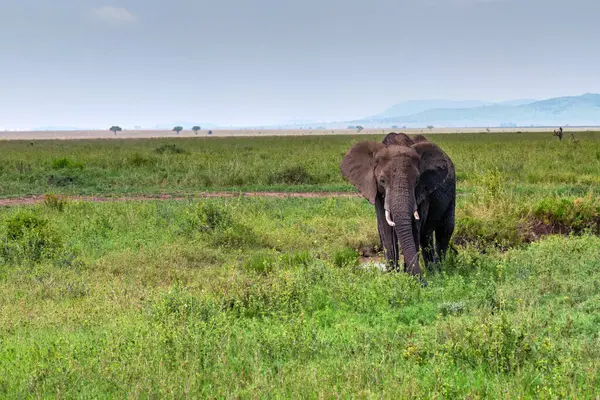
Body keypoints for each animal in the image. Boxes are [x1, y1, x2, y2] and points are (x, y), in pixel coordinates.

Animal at [340, 133, 458, 280]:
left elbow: (414, 227)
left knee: (445, 229)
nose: (423, 282)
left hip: (452, 189)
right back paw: (432, 270)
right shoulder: (375, 190)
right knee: (426, 235)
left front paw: (409, 278)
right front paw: (393, 277)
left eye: (417, 181)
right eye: (382, 181)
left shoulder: (422, 191)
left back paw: (439, 271)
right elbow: (385, 228)